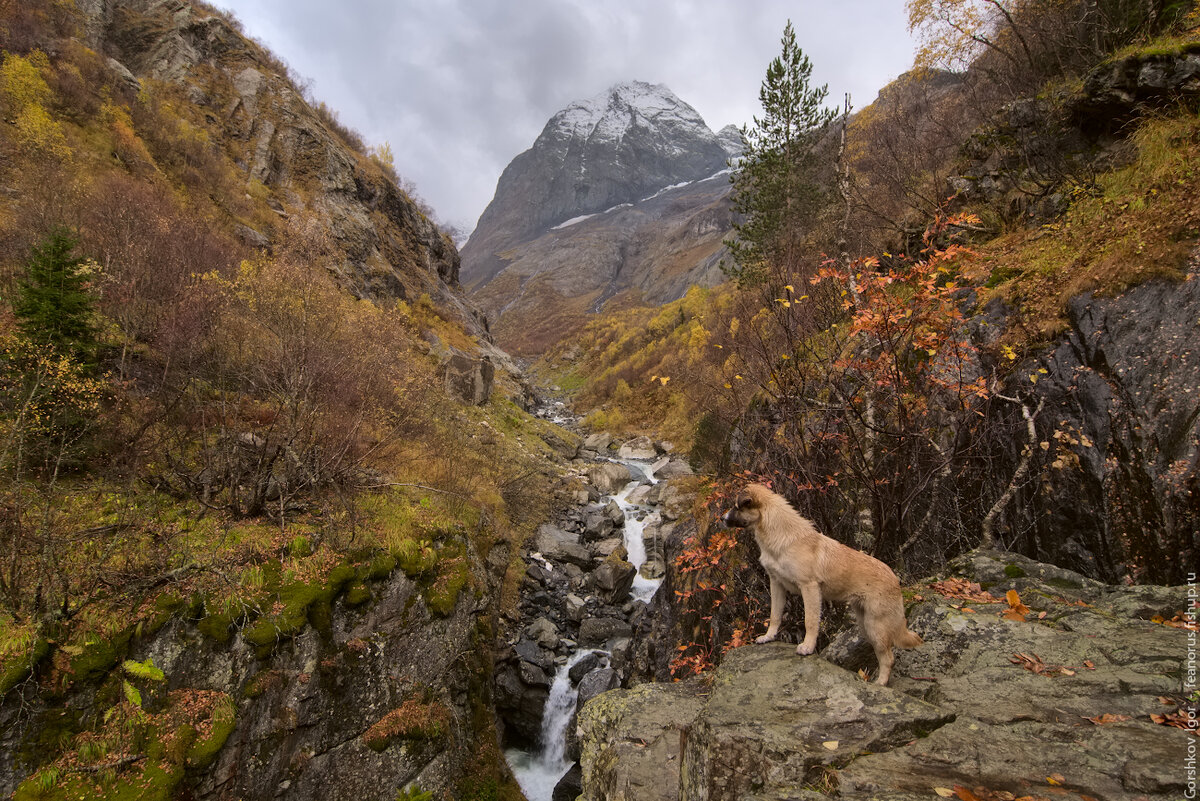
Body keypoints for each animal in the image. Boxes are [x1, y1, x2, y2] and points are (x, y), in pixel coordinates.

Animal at [720, 482, 926, 681]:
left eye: (736, 506)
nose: (722, 518)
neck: (781, 535)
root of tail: (895, 580)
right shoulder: (776, 585)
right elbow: (775, 615)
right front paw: (768, 637)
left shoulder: (809, 588)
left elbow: (810, 621)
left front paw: (807, 647)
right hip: (865, 624)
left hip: (876, 626)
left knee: (888, 659)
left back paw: (879, 684)